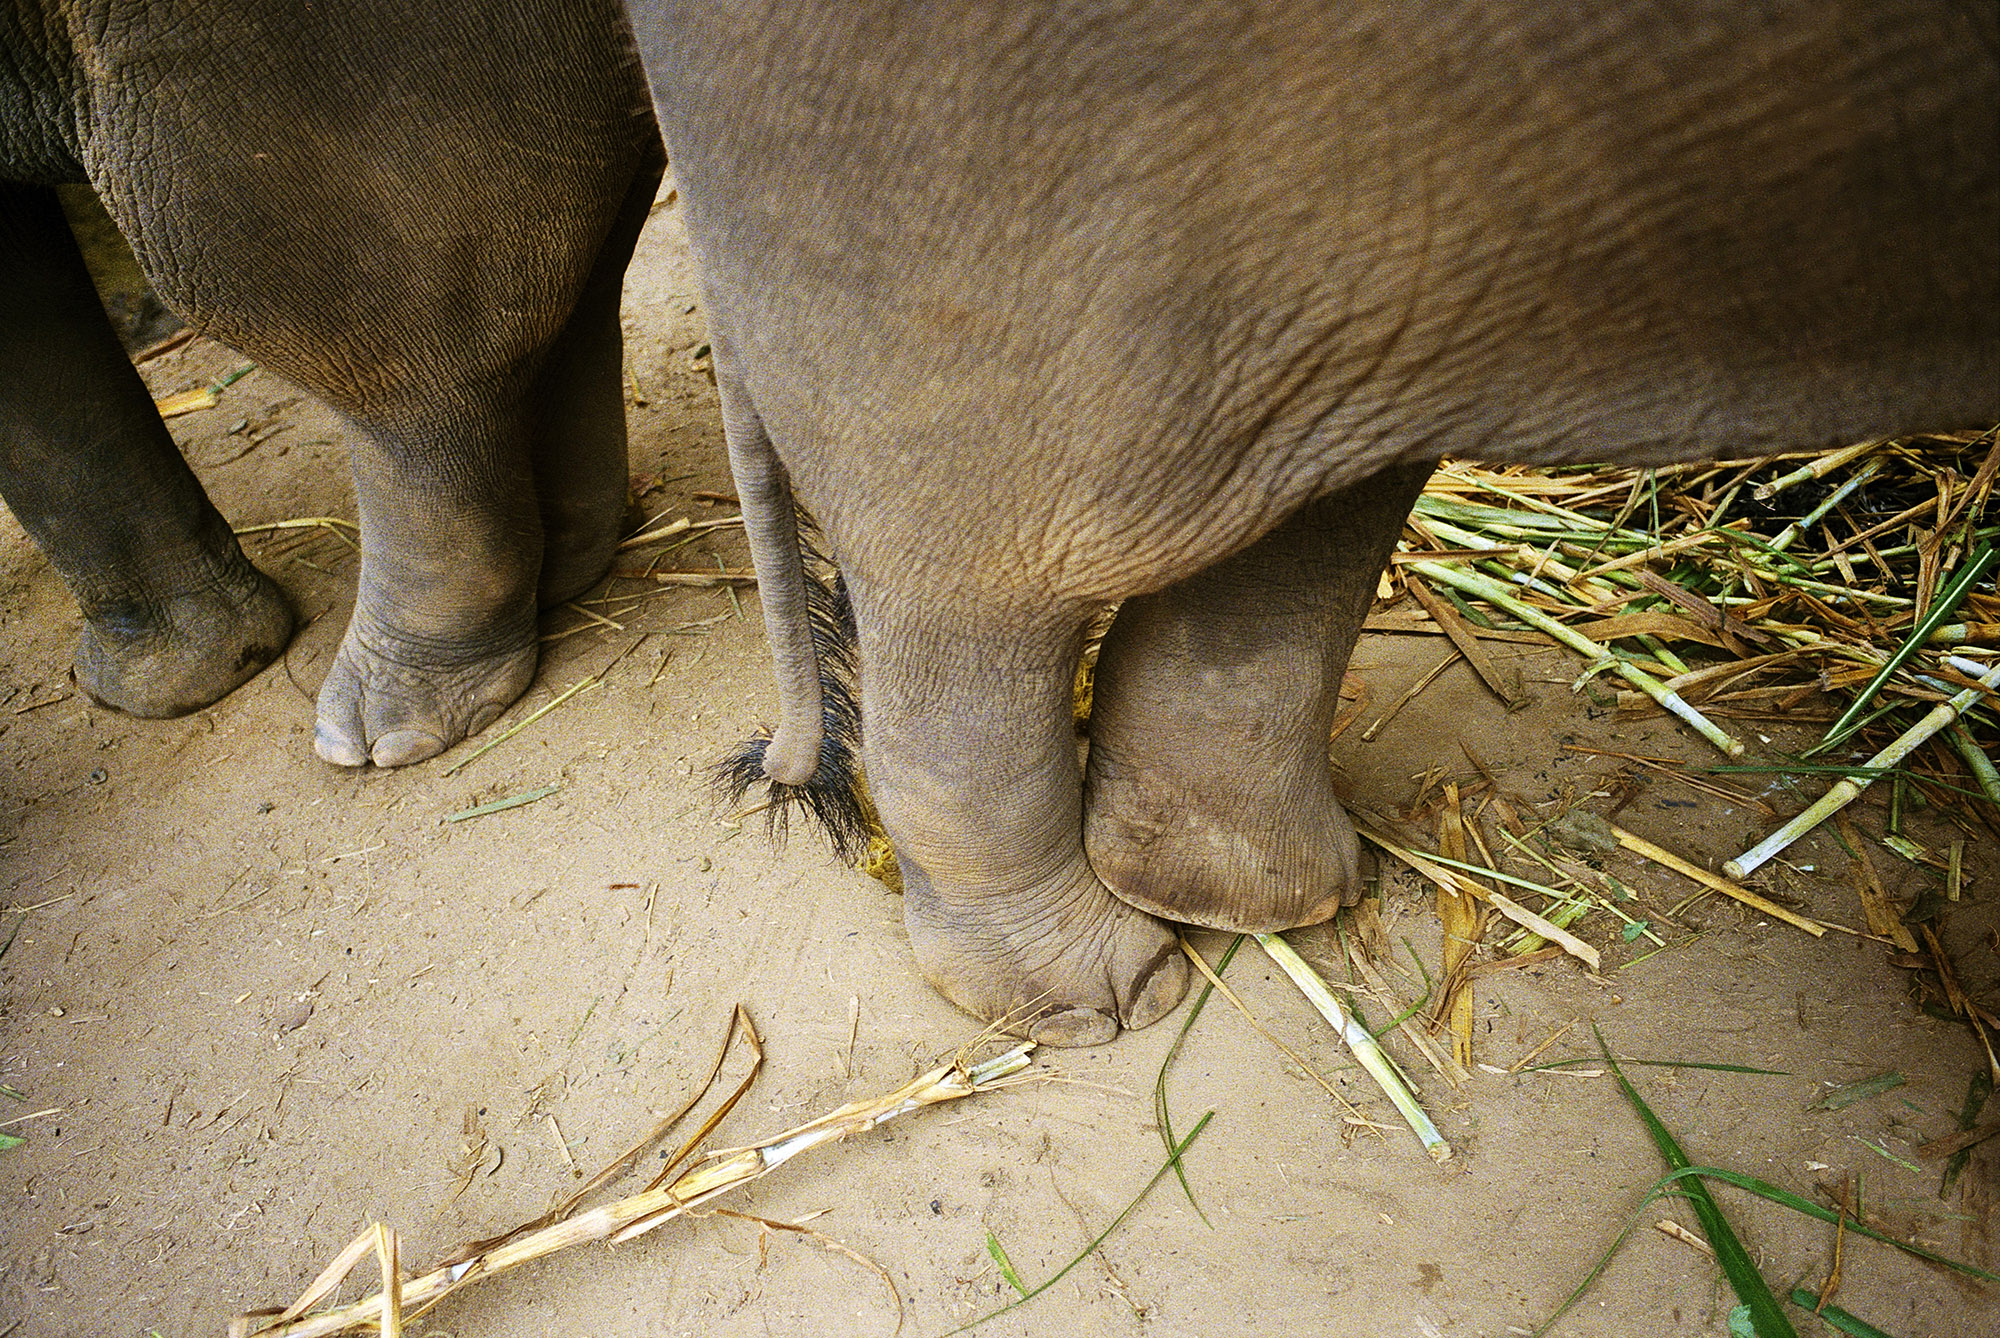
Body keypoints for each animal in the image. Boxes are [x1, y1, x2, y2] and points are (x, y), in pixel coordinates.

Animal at [0, 0, 664, 760]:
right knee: (578, 282)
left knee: (407, 362)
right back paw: (569, 571)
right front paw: (168, 688)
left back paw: (380, 737)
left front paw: (170, 690)